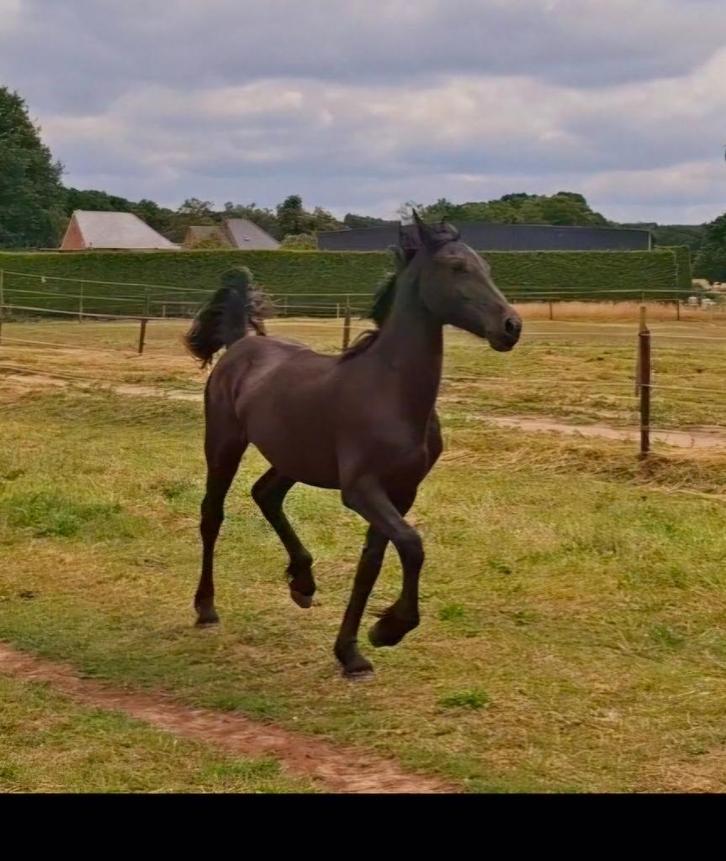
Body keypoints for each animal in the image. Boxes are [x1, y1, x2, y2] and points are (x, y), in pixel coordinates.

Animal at [184, 213, 522, 677]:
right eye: (456, 267)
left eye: (486, 266)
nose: (511, 327)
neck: (390, 392)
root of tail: (241, 342)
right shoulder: (361, 489)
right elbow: (412, 546)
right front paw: (389, 629)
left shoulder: (401, 491)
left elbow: (373, 564)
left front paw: (352, 652)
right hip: (223, 445)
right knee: (212, 515)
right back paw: (206, 607)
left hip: (293, 457)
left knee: (265, 494)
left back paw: (303, 583)